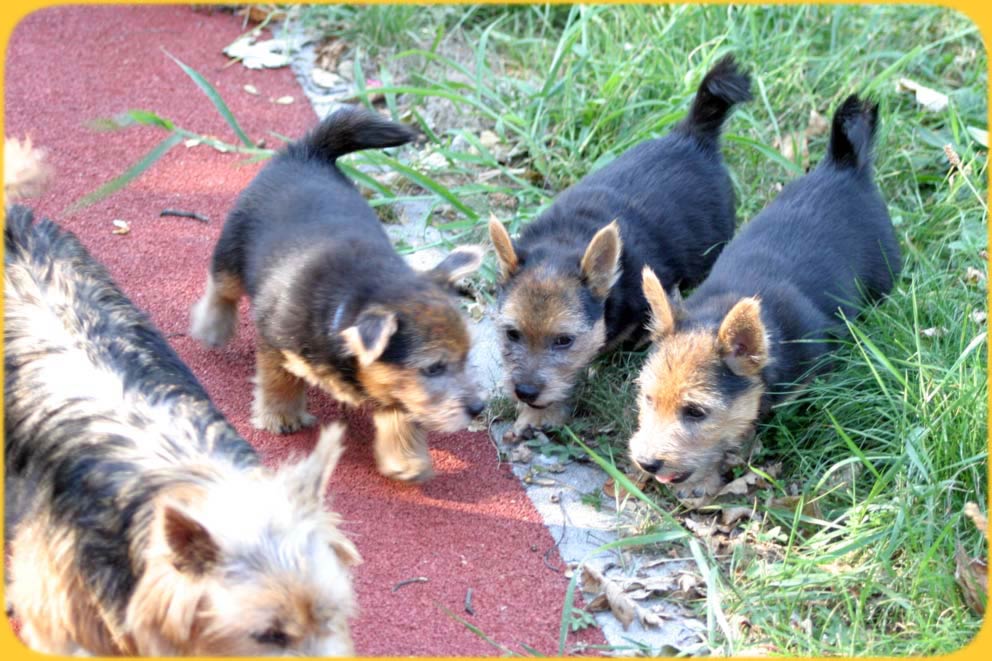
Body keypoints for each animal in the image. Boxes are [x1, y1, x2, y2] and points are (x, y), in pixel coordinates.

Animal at [190, 105, 484, 482]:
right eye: (433, 368)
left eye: (465, 359)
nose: (478, 408)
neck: (351, 301)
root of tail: (307, 151)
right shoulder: (275, 339)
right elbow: (278, 379)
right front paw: (281, 415)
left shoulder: (396, 383)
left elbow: (400, 410)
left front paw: (406, 457)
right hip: (232, 246)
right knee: (221, 287)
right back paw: (212, 326)